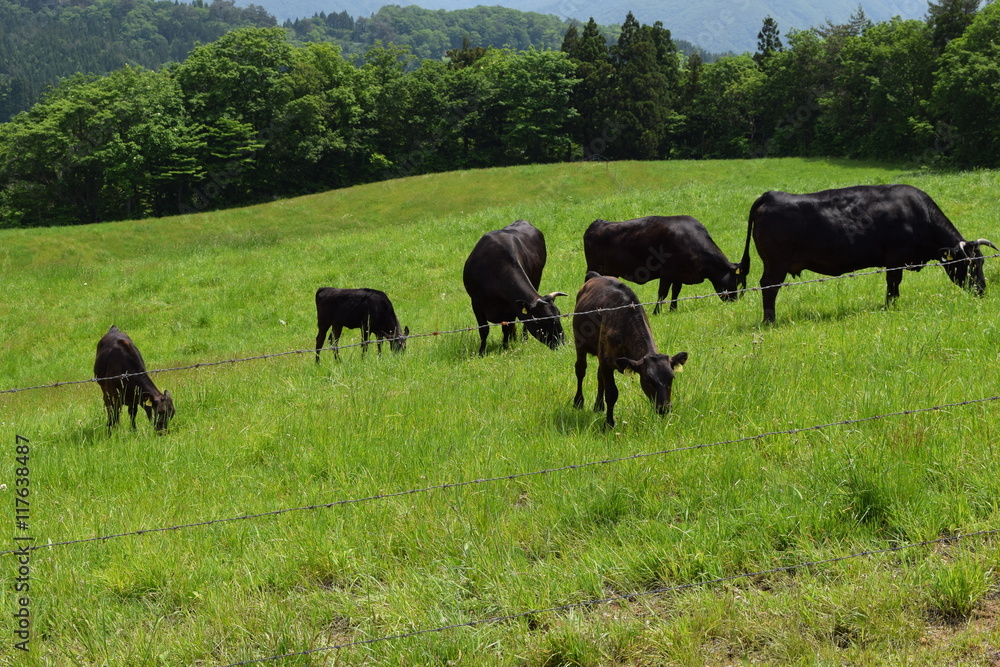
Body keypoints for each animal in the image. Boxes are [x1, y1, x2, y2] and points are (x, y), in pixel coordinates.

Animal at [462, 219, 568, 354]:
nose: (563, 344)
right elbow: (484, 330)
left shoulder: (511, 306)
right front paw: (481, 352)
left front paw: (505, 348)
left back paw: (523, 338)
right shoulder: (476, 303)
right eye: (544, 319)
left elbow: (506, 328)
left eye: (559, 315)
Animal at [576, 274, 692, 430]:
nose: (664, 408)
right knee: (580, 370)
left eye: (672, 378)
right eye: (648, 380)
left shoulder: (605, 359)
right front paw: (609, 424)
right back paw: (578, 402)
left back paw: (598, 407)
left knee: (599, 377)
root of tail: (596, 276)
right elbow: (611, 393)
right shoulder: (606, 361)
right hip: (579, 344)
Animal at [584, 217, 748, 316]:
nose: (734, 300)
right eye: (736, 280)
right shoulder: (667, 272)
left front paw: (673, 309)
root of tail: (598, 223)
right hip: (594, 268)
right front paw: (656, 312)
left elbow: (676, 292)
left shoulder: (679, 275)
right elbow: (662, 293)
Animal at [748, 184, 996, 322]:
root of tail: (771, 195)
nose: (982, 290)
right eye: (970, 264)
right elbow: (893, 285)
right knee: (769, 288)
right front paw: (890, 308)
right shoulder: (895, 259)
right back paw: (769, 321)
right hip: (776, 265)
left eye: (982, 263)